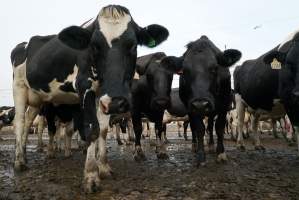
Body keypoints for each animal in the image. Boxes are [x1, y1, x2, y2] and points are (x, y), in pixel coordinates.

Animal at [11, 4, 169, 192]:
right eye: (94, 46)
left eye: (133, 45)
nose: (117, 102)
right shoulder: (85, 87)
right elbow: (92, 129)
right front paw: (91, 176)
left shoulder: (103, 98)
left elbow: (103, 130)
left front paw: (104, 167)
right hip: (19, 88)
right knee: (20, 122)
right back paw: (19, 162)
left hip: (37, 99)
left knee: (28, 122)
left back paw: (25, 155)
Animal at [166, 36, 241, 166]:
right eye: (184, 71)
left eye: (215, 68)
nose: (201, 104)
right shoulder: (192, 108)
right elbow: (199, 129)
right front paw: (201, 156)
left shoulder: (224, 105)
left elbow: (219, 127)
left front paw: (221, 153)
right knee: (193, 128)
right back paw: (194, 145)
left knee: (210, 126)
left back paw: (211, 145)